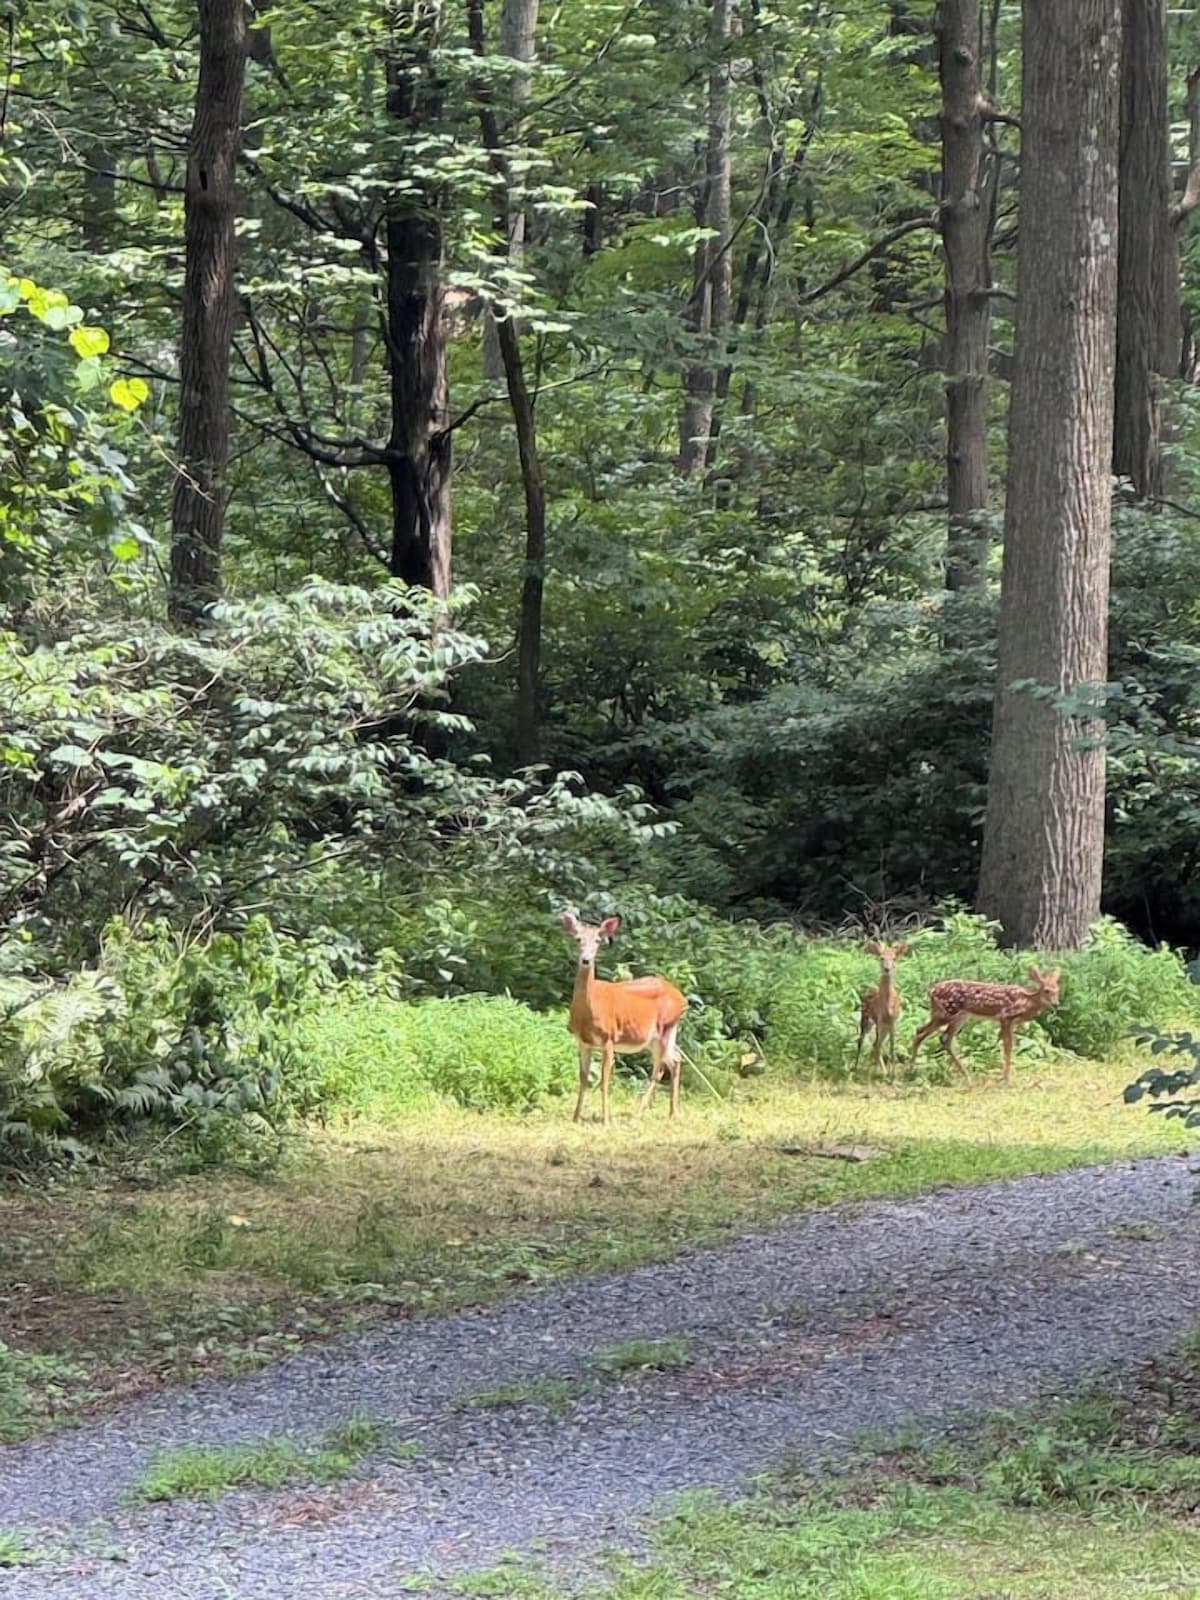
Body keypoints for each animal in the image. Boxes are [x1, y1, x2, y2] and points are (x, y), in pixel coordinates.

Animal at [559, 912, 688, 1125]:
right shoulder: (583, 1042)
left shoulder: (609, 1038)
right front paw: (575, 1117)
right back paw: (673, 1113)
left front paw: (606, 1120)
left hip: (665, 1027)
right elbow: (583, 1078)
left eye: (598, 940)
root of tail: (682, 998)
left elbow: (604, 1080)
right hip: (658, 1036)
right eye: (578, 939)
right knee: (675, 1060)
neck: (589, 1008)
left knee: (659, 1070)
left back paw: (639, 1113)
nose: (586, 960)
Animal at [855, 940, 909, 1073]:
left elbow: (892, 1047)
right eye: (881, 957)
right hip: (866, 1018)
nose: (887, 969)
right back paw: (856, 1067)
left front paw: (892, 1073)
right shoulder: (879, 1018)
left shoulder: (893, 1021)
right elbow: (880, 1046)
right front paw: (884, 1072)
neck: (888, 1004)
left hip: (883, 1026)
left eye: (894, 958)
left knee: (875, 1044)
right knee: (862, 1041)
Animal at [908, 967, 1061, 1084]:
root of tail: (931, 991)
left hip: (959, 1016)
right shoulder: (1005, 1017)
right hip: (946, 1012)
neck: (1025, 1003)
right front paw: (1006, 1079)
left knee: (944, 1038)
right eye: (1047, 990)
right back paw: (910, 1071)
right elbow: (1008, 1047)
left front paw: (1006, 1077)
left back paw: (967, 1076)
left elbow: (1009, 1045)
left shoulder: (1011, 1023)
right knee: (920, 1032)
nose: (1056, 1003)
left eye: (1057, 989)